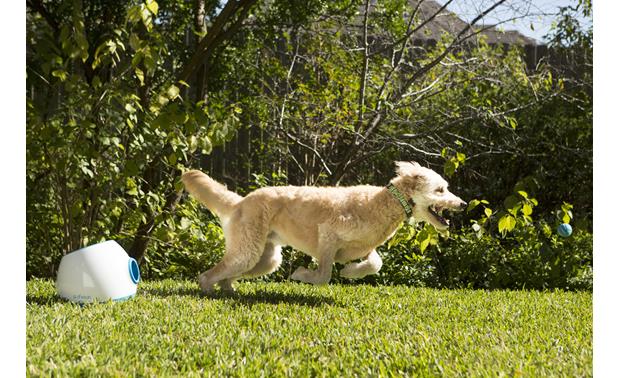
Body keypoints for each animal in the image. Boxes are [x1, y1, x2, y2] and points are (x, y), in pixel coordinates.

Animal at [179, 161, 464, 294]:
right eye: (440, 190)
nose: (462, 204)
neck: (382, 202)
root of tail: (241, 201)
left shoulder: (365, 246)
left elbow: (375, 263)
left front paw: (350, 271)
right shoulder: (328, 234)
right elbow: (324, 274)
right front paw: (303, 275)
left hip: (264, 259)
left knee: (226, 275)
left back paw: (229, 291)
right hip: (248, 252)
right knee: (208, 275)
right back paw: (210, 291)